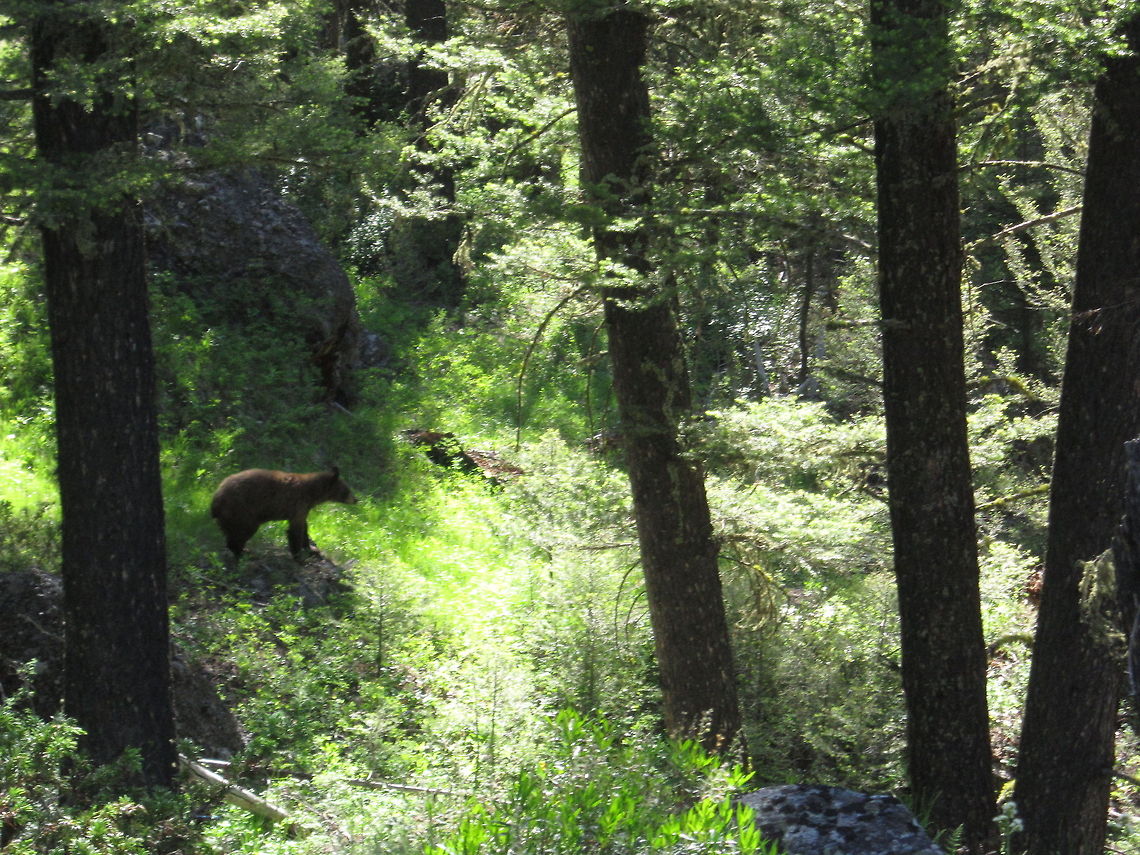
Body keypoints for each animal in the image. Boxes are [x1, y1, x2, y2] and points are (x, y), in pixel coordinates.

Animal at [210, 467, 357, 558]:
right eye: (347, 489)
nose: (356, 499)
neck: (312, 493)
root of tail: (216, 498)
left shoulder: (303, 508)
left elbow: (304, 527)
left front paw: (312, 549)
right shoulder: (298, 503)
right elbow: (295, 530)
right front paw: (299, 556)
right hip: (242, 511)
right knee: (242, 532)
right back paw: (243, 552)